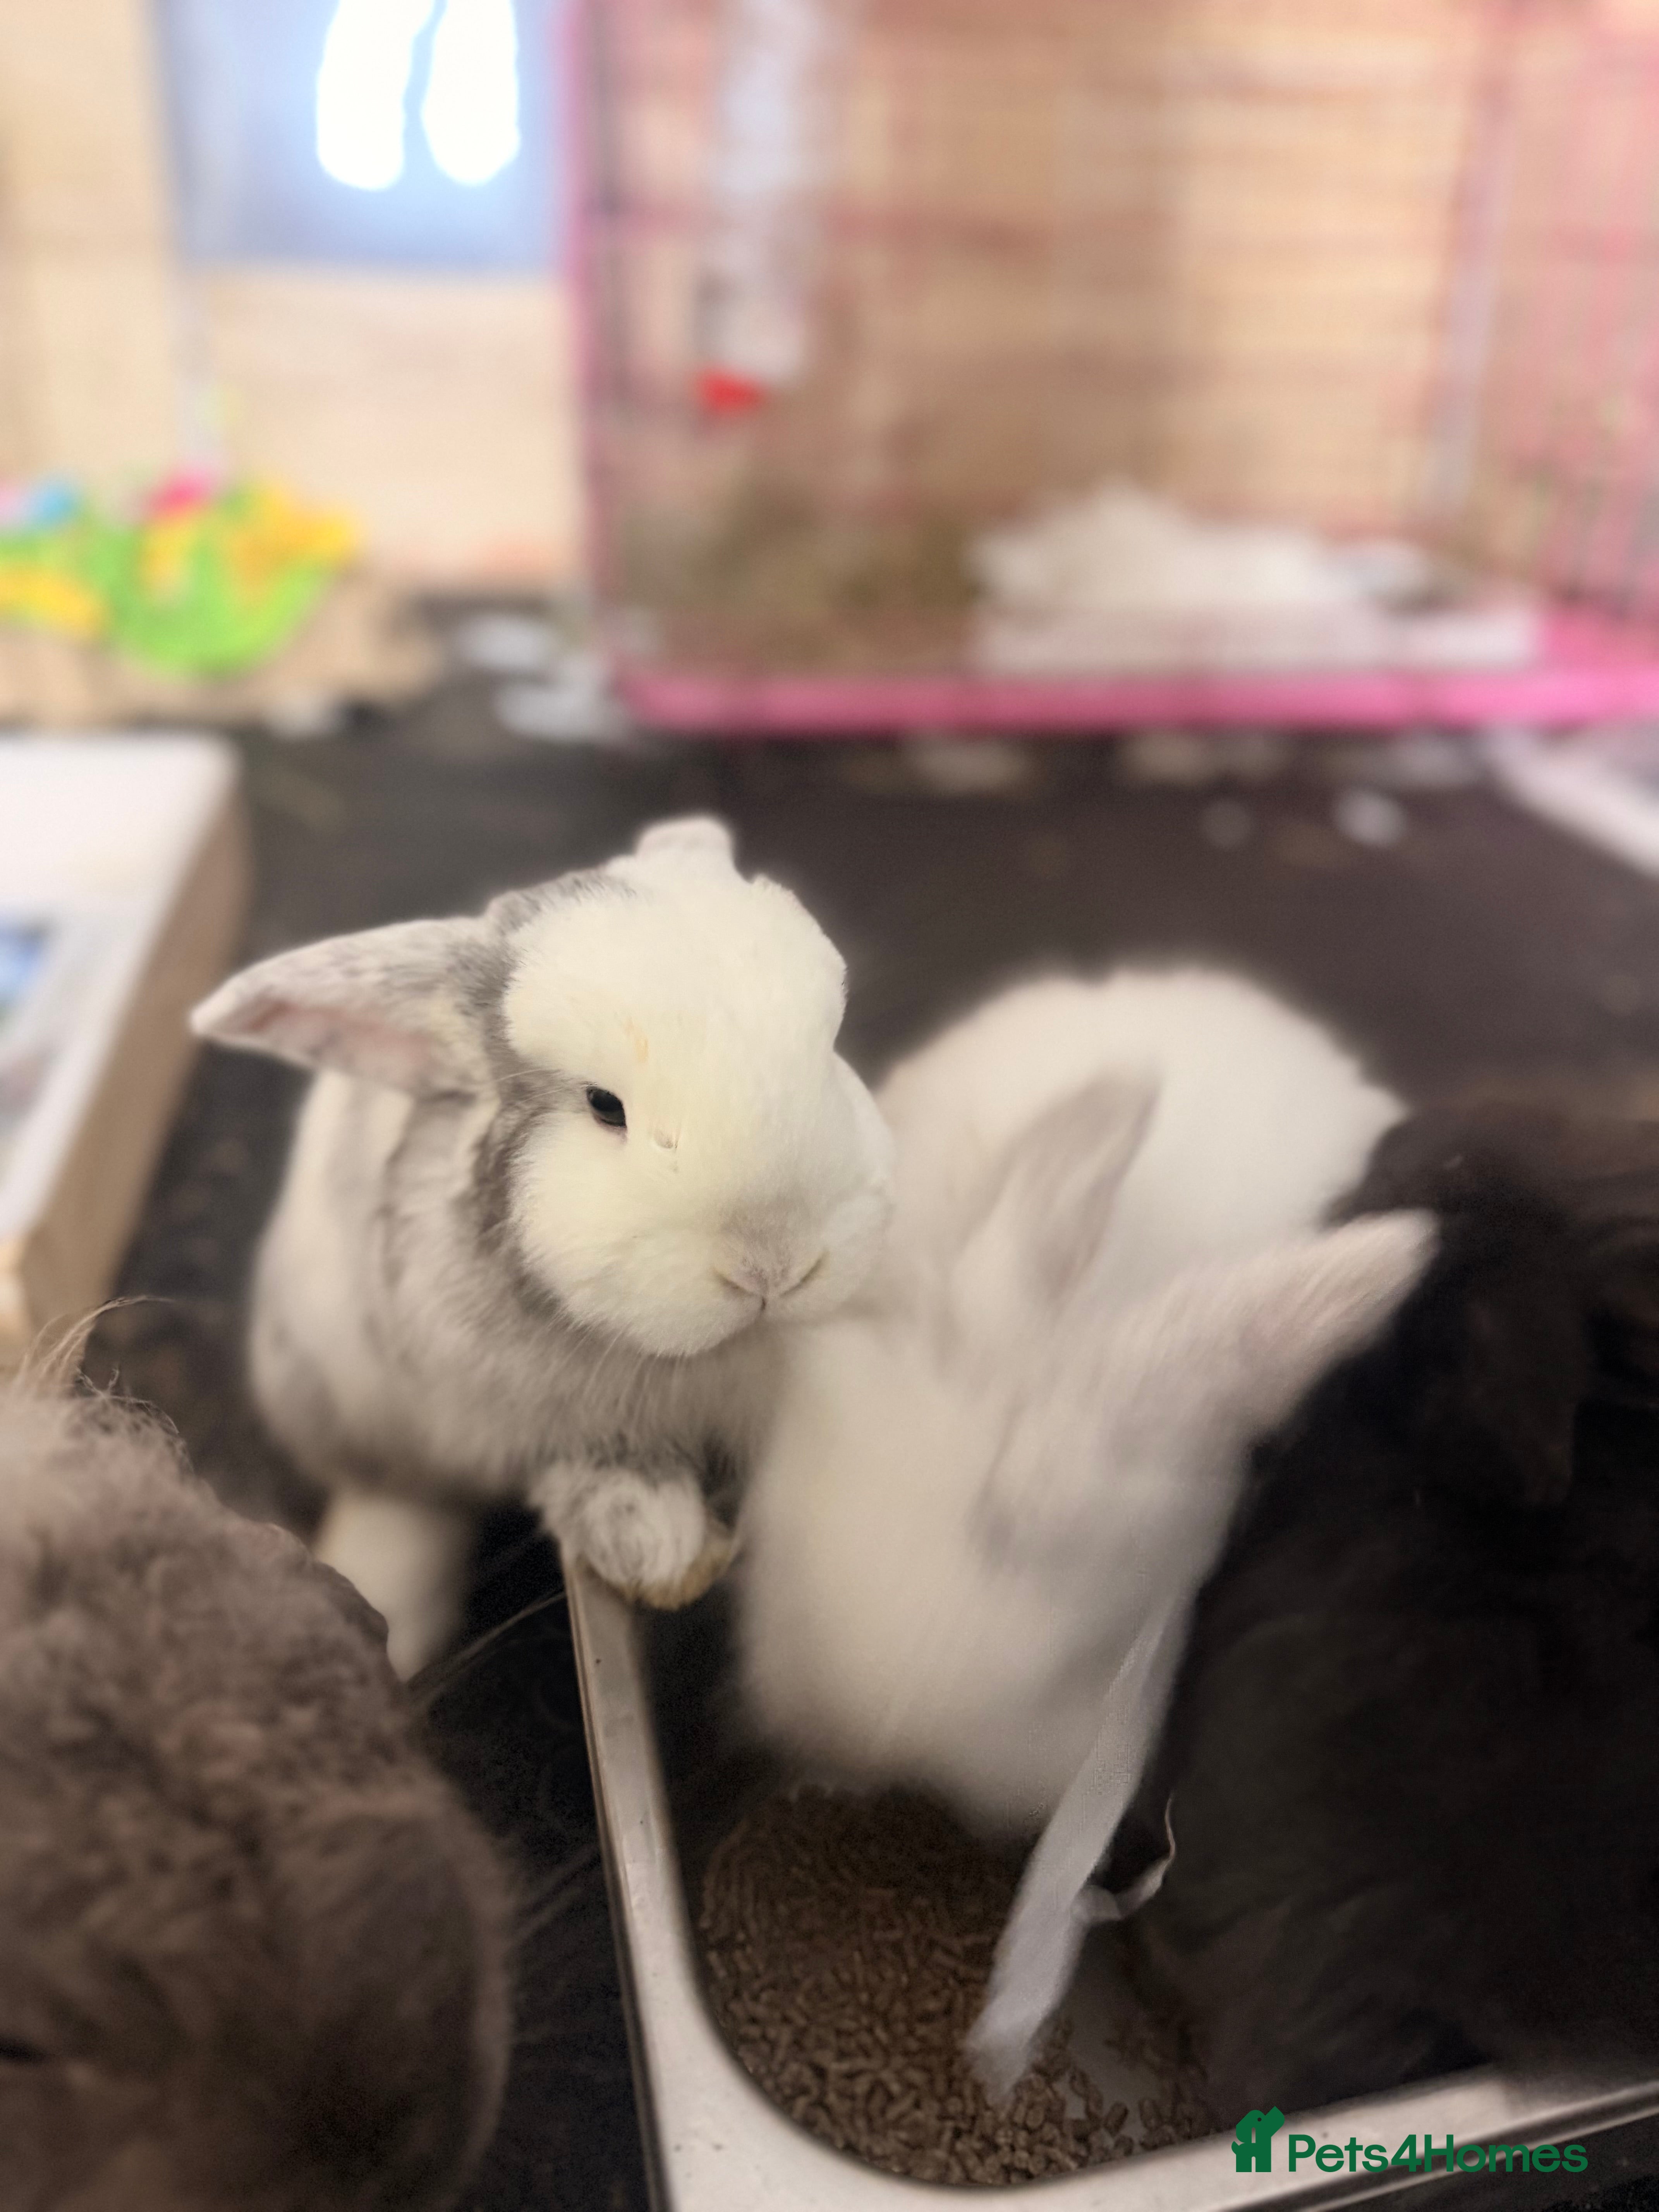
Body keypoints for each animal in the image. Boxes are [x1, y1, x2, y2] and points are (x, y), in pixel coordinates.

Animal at [192, 815, 894, 1676]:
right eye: (603, 1106)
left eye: (830, 1049)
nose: (774, 1266)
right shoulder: (530, 1427)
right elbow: (588, 1476)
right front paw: (655, 1543)